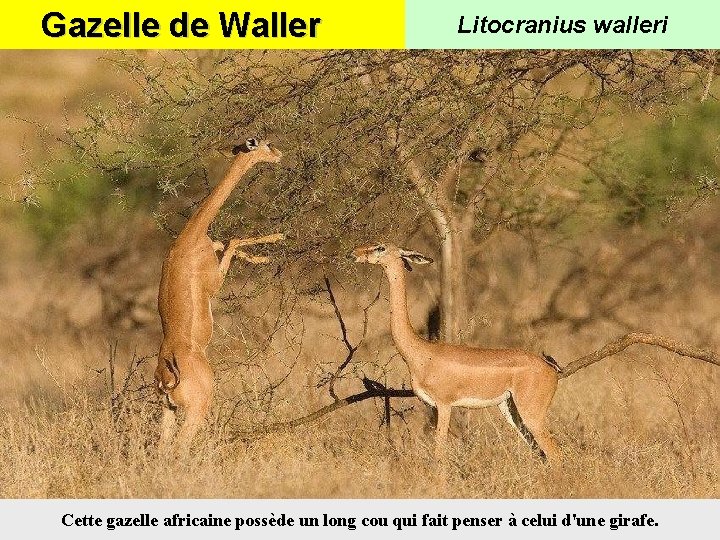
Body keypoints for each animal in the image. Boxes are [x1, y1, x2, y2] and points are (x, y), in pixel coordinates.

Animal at [155, 138, 284, 451]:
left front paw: (260, 257)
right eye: (265, 144)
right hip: (196, 411)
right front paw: (276, 239)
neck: (191, 236)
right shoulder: (214, 283)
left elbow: (227, 242)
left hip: (167, 411)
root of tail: (167, 378)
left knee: (161, 449)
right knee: (179, 449)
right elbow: (234, 240)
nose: (280, 155)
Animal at [351, 243, 561, 462]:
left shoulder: (444, 405)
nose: (354, 253)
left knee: (556, 455)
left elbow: (439, 452)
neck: (421, 353)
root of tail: (551, 369)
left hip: (532, 414)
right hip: (511, 411)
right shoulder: (434, 407)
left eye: (380, 247)